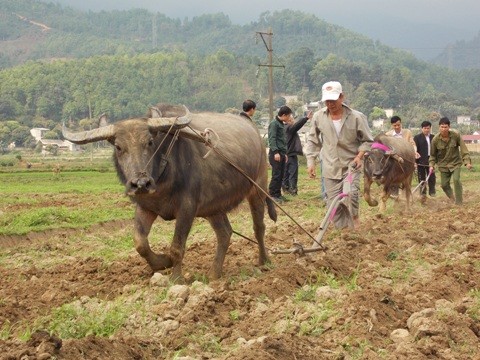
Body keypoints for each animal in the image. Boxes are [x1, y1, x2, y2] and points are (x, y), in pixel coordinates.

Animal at [62, 104, 276, 282]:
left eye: (150, 142)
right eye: (118, 146)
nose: (141, 183)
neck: (163, 177)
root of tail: (255, 133)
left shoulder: (187, 209)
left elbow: (177, 247)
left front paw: (176, 278)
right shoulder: (145, 207)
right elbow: (140, 243)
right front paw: (162, 262)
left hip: (258, 188)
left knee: (259, 227)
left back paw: (264, 261)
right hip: (214, 207)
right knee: (225, 233)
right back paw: (214, 274)